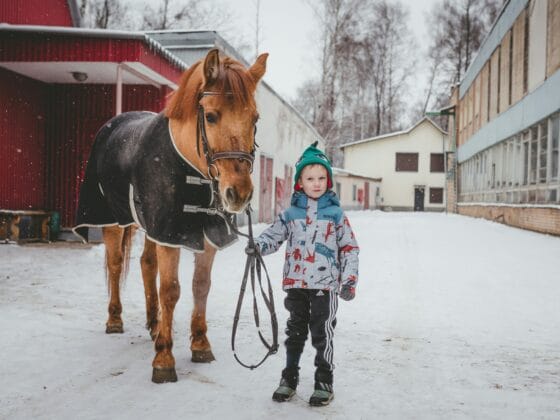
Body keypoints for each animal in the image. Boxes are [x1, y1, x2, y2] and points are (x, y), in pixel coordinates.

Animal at [74, 49, 270, 384]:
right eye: (211, 116)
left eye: (254, 118)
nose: (239, 193)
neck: (190, 165)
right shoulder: (170, 234)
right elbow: (171, 290)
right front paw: (164, 360)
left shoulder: (203, 236)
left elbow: (200, 286)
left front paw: (200, 344)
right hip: (114, 220)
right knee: (115, 265)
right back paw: (115, 319)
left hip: (150, 227)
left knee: (145, 264)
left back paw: (154, 325)